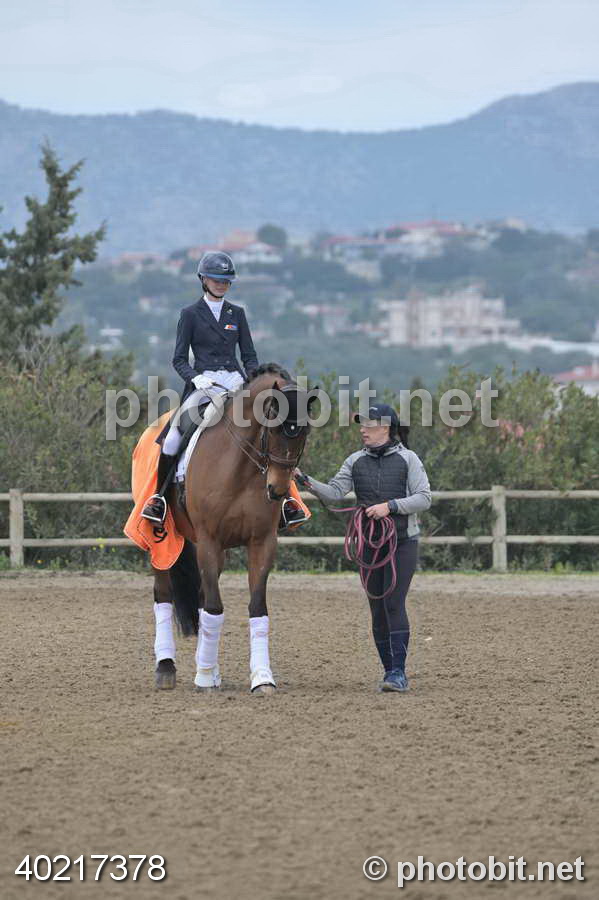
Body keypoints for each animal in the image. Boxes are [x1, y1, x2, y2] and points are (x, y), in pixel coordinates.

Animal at [151, 363, 316, 694]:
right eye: (273, 429)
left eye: (303, 434)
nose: (277, 490)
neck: (241, 467)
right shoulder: (209, 540)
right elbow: (215, 609)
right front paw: (203, 679)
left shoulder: (262, 542)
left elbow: (256, 608)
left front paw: (262, 678)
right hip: (163, 539)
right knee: (163, 595)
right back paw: (166, 668)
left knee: (202, 598)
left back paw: (210, 668)